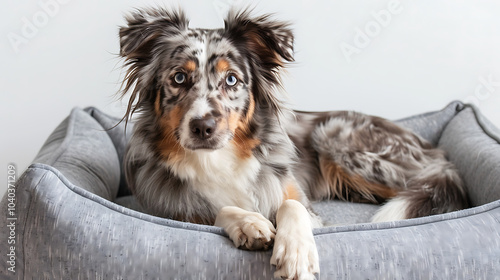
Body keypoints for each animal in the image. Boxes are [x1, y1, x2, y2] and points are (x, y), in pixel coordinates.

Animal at [119, 7, 470, 280]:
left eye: (231, 79)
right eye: (179, 78)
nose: (203, 126)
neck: (217, 160)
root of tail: (434, 150)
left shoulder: (304, 203)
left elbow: (292, 205)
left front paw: (296, 255)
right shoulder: (170, 209)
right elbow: (218, 210)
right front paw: (249, 223)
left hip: (336, 140)